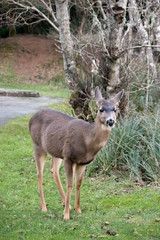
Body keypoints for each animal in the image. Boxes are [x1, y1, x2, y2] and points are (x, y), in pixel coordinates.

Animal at [29, 87, 124, 220]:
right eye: (101, 109)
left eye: (115, 109)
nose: (111, 121)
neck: (87, 141)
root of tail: (31, 118)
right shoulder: (69, 156)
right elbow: (70, 184)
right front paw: (66, 215)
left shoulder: (82, 162)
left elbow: (78, 184)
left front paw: (77, 209)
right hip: (38, 145)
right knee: (39, 173)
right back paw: (44, 207)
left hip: (56, 151)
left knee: (54, 170)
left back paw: (66, 204)